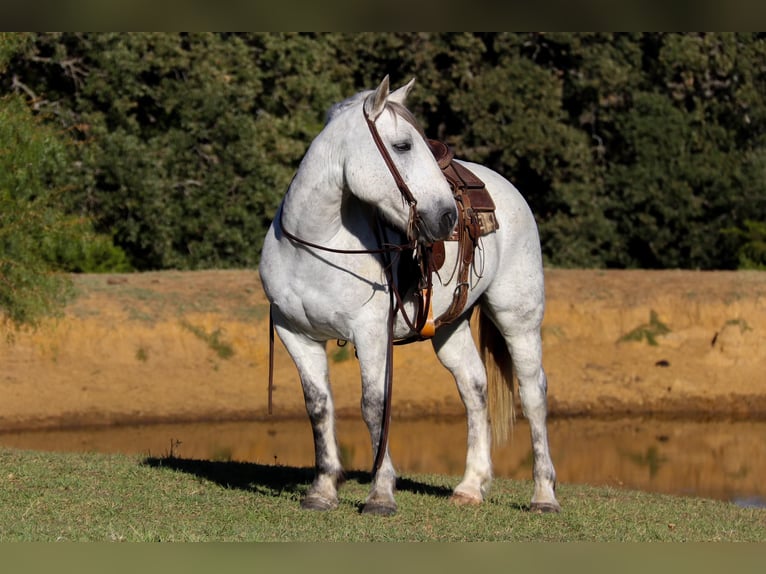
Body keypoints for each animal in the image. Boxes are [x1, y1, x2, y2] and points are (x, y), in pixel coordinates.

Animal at [260, 75, 560, 516]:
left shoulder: (371, 334)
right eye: (402, 145)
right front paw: (323, 489)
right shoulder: (295, 334)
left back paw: (544, 495)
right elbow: (318, 406)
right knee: (474, 387)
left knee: (533, 392)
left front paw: (380, 494)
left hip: (517, 317)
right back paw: (470, 486)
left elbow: (374, 406)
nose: (447, 216)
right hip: (450, 328)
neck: (314, 246)